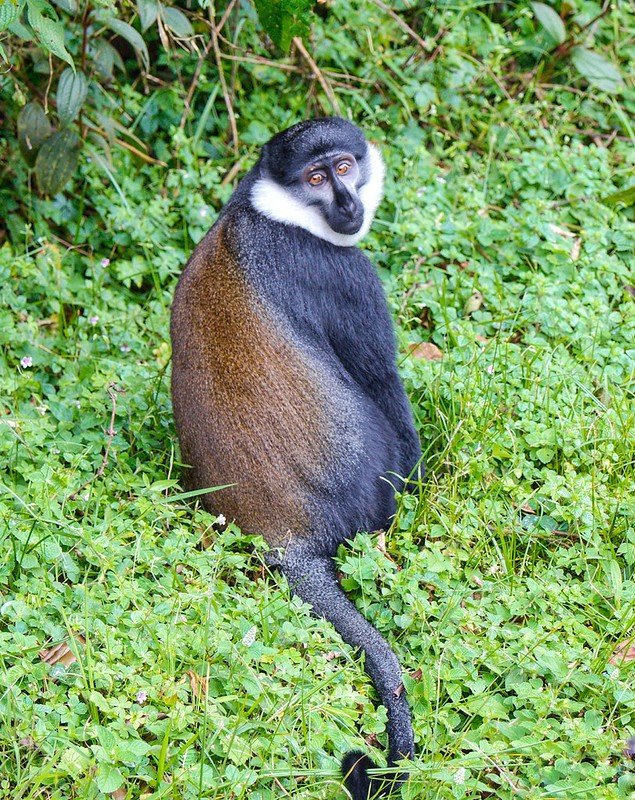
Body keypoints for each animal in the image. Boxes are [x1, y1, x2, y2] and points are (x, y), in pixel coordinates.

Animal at [170, 117, 422, 799]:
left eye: (344, 166)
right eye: (315, 176)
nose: (346, 203)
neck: (267, 212)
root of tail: (287, 540)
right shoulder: (344, 275)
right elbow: (384, 382)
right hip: (368, 493)